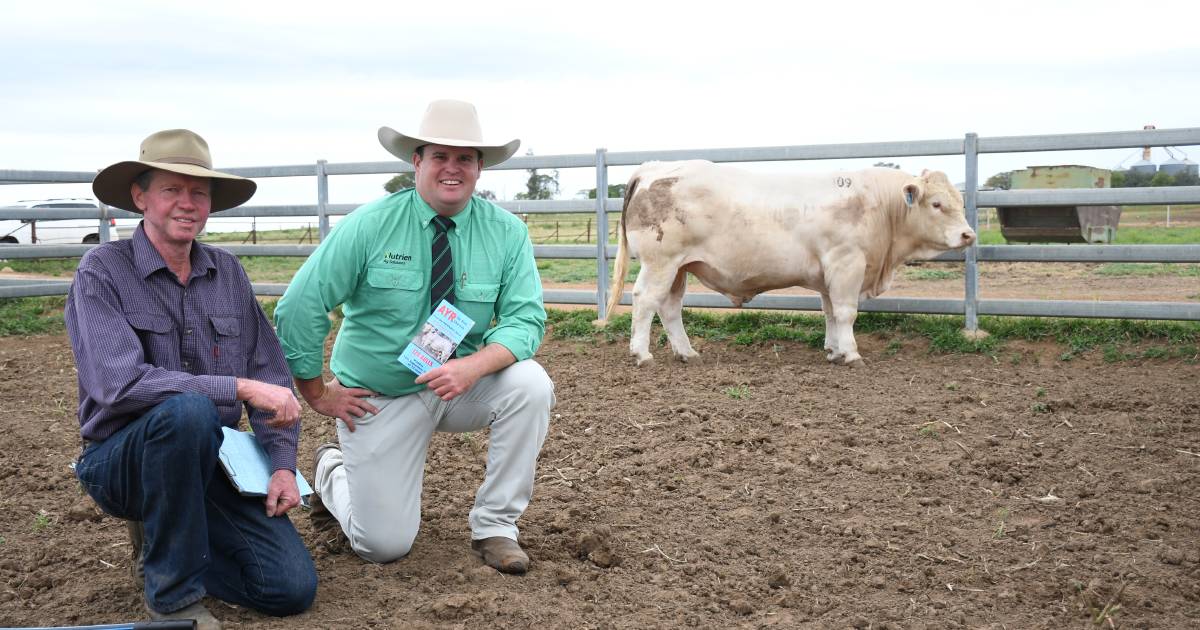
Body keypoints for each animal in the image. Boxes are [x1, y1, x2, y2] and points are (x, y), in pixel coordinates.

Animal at [600, 160, 974, 369]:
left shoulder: (829, 273)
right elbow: (846, 312)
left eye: (960, 200)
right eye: (937, 204)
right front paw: (852, 354)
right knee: (645, 301)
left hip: (679, 268)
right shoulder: (847, 264)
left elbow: (829, 312)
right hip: (660, 262)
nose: (968, 235)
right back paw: (641, 354)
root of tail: (653, 167)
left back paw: (687, 353)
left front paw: (834, 351)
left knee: (670, 308)